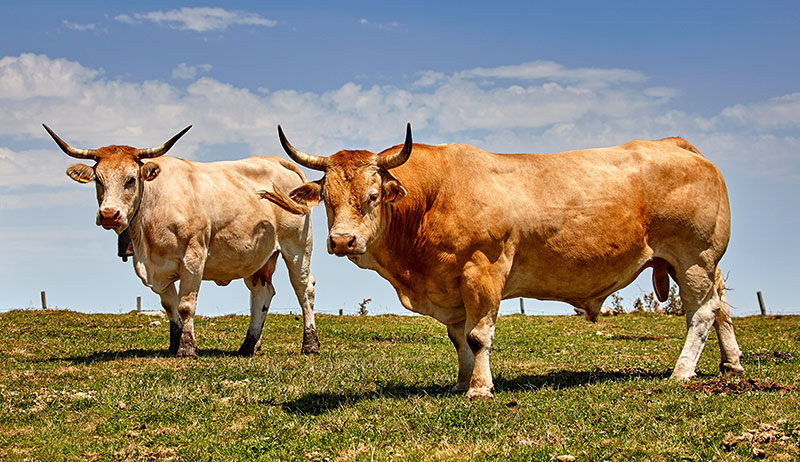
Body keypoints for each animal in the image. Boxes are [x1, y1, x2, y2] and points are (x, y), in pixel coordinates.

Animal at [44, 124, 319, 358]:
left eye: (131, 179)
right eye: (98, 180)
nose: (109, 215)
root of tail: (276, 161)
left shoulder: (193, 258)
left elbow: (186, 305)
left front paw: (187, 349)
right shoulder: (157, 268)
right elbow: (170, 306)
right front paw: (174, 344)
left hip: (297, 248)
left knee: (304, 289)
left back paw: (310, 344)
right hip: (257, 257)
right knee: (262, 293)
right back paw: (248, 345)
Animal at [273, 123, 744, 399]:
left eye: (372, 196)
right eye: (327, 199)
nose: (342, 240)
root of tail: (678, 145)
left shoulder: (483, 271)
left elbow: (478, 336)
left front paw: (480, 389)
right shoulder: (452, 285)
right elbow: (459, 339)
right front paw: (461, 381)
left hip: (694, 257)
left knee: (701, 313)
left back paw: (681, 373)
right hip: (704, 263)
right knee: (721, 308)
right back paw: (731, 364)